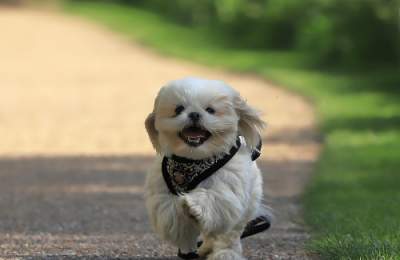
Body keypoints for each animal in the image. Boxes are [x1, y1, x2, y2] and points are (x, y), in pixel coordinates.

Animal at [145, 77, 268, 260]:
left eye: (210, 110)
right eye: (178, 109)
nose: (195, 114)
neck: (194, 159)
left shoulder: (228, 189)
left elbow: (215, 198)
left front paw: (193, 206)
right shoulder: (162, 186)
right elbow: (170, 211)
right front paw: (180, 213)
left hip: (245, 209)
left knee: (228, 236)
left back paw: (224, 253)